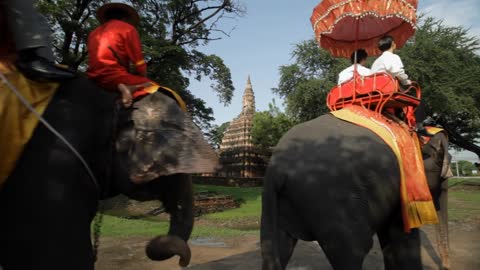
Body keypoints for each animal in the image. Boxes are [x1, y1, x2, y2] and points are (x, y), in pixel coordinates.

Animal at [260, 113, 452, 268]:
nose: (445, 266)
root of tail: (277, 167)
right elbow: (404, 235)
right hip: (333, 199)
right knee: (353, 251)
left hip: (275, 199)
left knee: (276, 247)